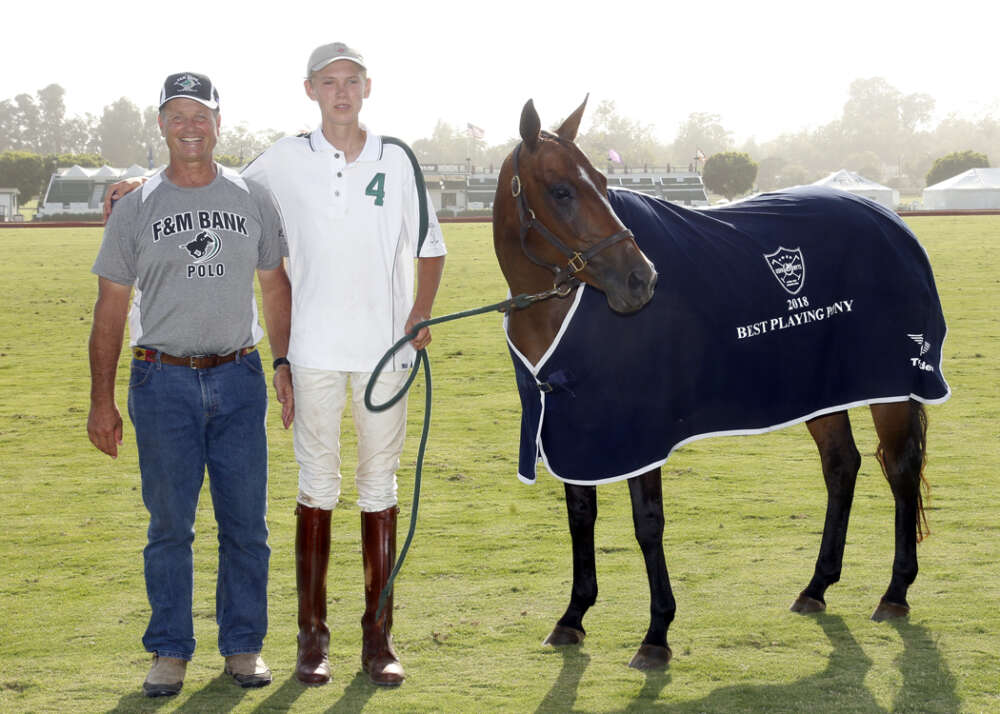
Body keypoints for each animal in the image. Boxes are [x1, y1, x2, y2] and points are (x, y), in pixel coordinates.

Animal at [496, 97, 932, 672]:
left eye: (603, 182)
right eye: (561, 190)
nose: (640, 279)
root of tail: (892, 220)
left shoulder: (640, 430)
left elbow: (647, 522)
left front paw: (656, 633)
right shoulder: (577, 423)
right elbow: (580, 516)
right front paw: (573, 617)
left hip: (890, 388)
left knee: (901, 470)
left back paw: (895, 592)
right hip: (822, 390)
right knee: (841, 466)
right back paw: (816, 586)